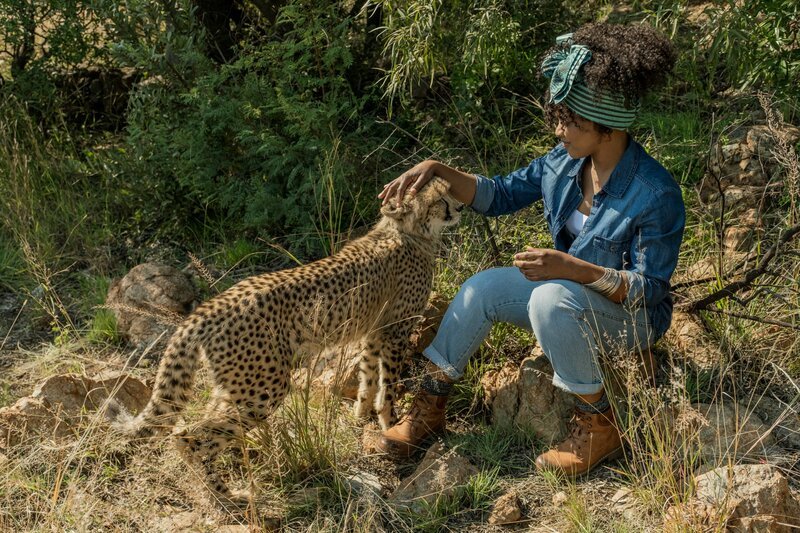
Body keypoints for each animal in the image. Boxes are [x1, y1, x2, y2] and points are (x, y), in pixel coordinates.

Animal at [115, 178, 460, 502]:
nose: (458, 208)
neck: (405, 231)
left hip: (236, 383)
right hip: (263, 388)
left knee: (193, 427)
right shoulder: (394, 331)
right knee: (193, 435)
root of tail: (207, 309)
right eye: (440, 199)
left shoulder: (373, 332)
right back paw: (226, 497)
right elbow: (387, 383)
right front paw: (389, 423)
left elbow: (368, 377)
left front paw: (360, 416)